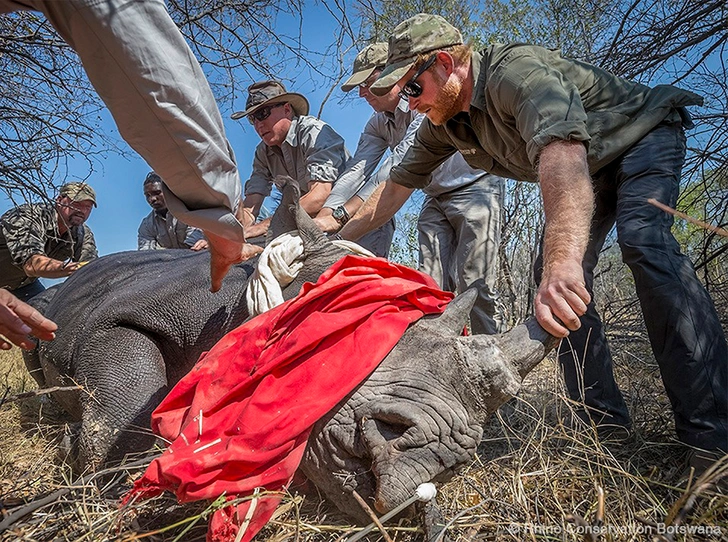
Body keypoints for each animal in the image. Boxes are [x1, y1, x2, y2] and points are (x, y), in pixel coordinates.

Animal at [24, 183, 556, 528]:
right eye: (340, 320)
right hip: (58, 301)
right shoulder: (126, 314)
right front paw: (92, 467)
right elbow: (131, 387)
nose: (434, 462)